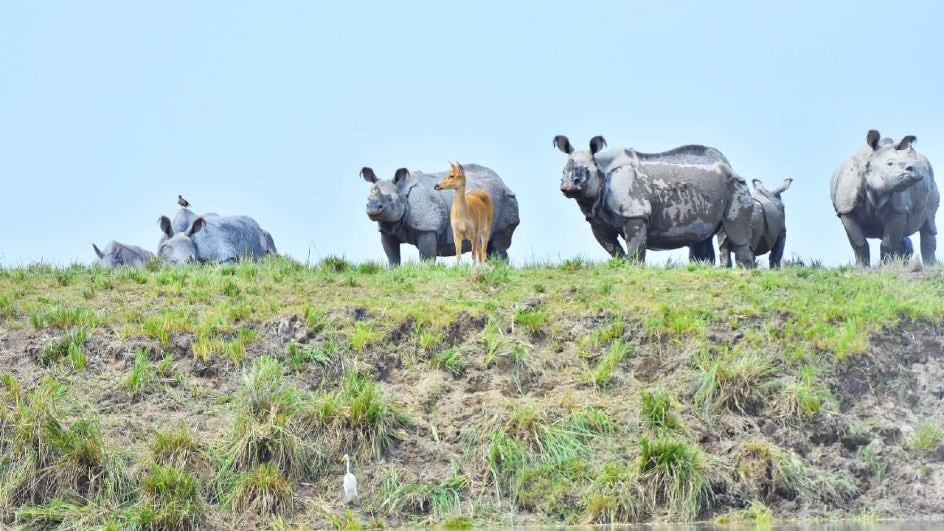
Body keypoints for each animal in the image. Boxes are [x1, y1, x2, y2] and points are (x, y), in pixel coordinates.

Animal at [360, 164, 519, 265]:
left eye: (389, 199)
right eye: (367, 199)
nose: (373, 208)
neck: (402, 192)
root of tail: (503, 183)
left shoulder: (427, 227)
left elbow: (426, 256)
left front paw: (426, 270)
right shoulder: (387, 227)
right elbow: (391, 255)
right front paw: (394, 270)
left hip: (507, 200)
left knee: (497, 243)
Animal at [553, 135, 755, 266]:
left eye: (586, 172)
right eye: (562, 172)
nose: (569, 187)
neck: (601, 170)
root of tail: (729, 165)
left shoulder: (636, 213)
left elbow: (635, 248)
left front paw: (634, 268)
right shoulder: (597, 220)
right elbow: (612, 248)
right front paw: (621, 265)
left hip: (735, 184)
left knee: (736, 233)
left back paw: (744, 271)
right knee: (702, 238)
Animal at [830, 130, 938, 266]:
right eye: (890, 163)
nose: (917, 170)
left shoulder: (899, 210)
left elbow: (888, 243)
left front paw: (887, 266)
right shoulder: (846, 209)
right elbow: (859, 243)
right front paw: (862, 267)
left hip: (933, 186)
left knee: (929, 223)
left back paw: (931, 266)